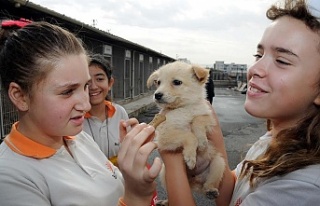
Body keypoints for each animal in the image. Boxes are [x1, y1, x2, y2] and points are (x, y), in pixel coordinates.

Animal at [147, 60, 225, 201]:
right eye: (158, 82)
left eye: (177, 82)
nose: (157, 95)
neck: (183, 108)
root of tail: (194, 181)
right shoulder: (165, 136)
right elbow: (189, 136)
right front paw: (190, 157)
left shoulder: (208, 117)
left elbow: (198, 121)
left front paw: (202, 142)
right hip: (164, 172)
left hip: (219, 163)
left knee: (209, 184)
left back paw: (211, 190)